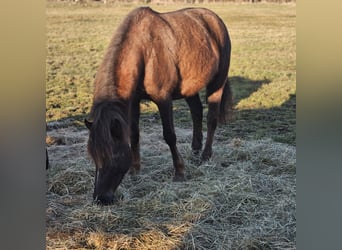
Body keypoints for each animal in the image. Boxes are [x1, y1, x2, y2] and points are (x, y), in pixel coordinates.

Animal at [85, 6, 232, 205]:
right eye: (94, 157)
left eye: (113, 156)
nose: (100, 198)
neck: (144, 52)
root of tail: (215, 19)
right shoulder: (135, 101)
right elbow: (134, 134)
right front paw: (135, 170)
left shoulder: (164, 100)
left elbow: (169, 135)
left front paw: (179, 172)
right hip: (189, 87)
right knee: (196, 111)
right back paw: (195, 149)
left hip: (217, 83)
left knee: (211, 119)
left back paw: (205, 156)